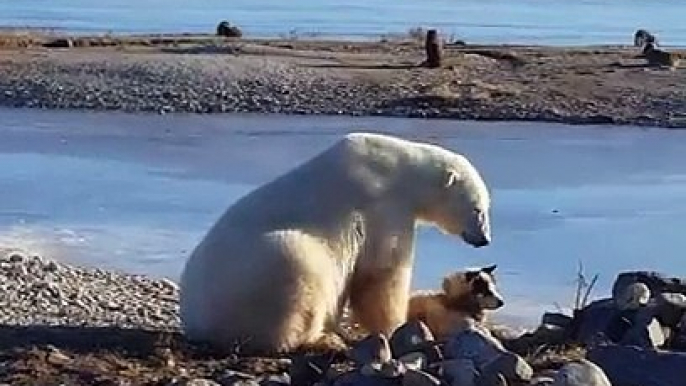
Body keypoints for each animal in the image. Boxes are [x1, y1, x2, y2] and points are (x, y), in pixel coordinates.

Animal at [180, 132, 492, 352]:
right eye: (478, 209)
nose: (485, 239)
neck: (402, 170)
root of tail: (195, 321)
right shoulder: (383, 207)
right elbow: (382, 275)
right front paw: (395, 326)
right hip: (259, 271)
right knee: (298, 267)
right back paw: (319, 339)